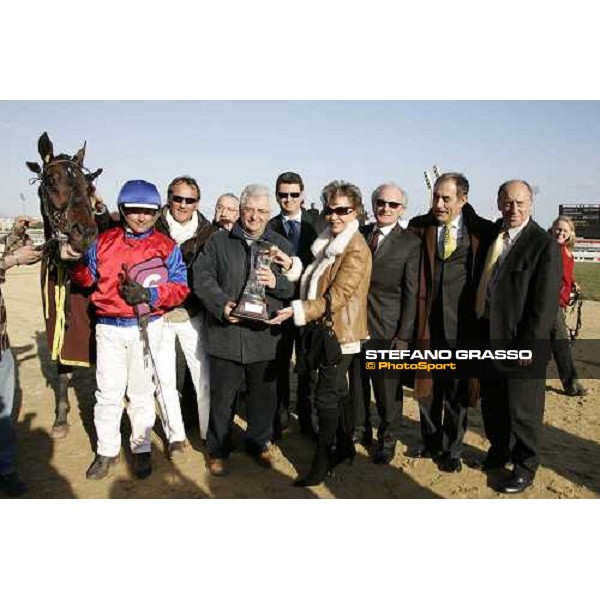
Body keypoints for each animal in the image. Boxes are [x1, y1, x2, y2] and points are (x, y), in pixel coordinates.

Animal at [26, 134, 104, 438]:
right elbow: (61, 368)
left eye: (87, 185)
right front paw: (61, 417)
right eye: (50, 180)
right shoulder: (57, 325)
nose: (84, 234)